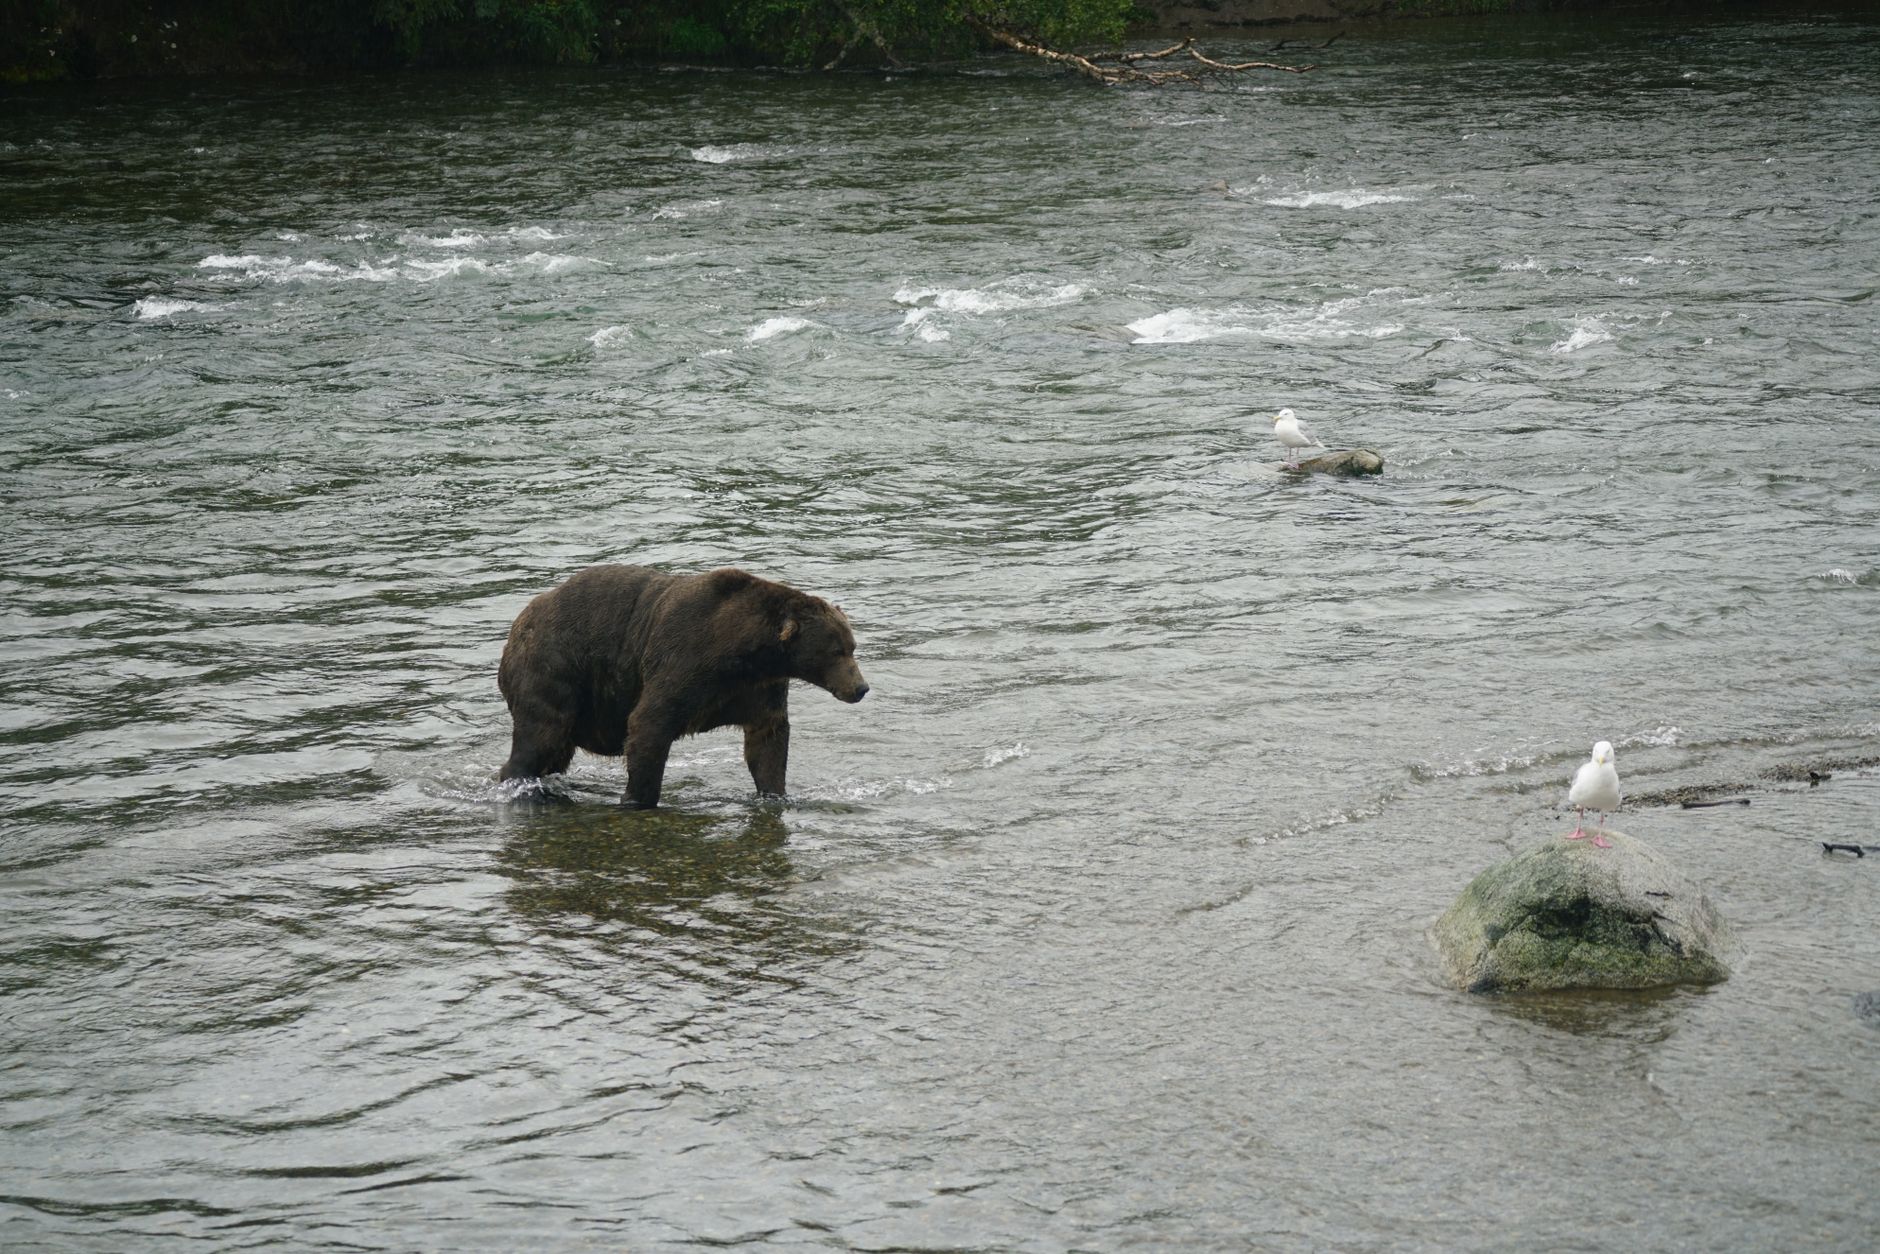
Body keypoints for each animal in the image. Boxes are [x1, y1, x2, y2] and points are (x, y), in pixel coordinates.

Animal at [497, 564, 868, 808]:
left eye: (852, 646)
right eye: (836, 650)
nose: (861, 687)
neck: (748, 653)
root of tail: (517, 624)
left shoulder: (757, 690)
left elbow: (767, 742)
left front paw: (775, 794)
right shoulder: (686, 660)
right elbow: (649, 723)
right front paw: (638, 798)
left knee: (556, 751)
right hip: (554, 666)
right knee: (541, 734)